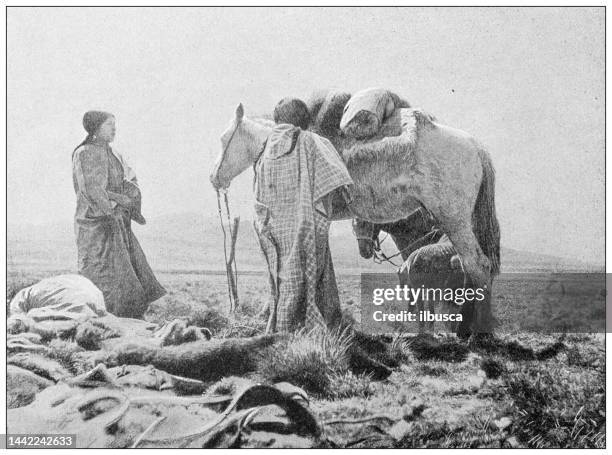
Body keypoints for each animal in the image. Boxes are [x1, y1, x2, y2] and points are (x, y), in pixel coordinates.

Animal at [208, 103, 500, 334]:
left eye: (224, 139)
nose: (214, 178)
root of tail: (475, 146)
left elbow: (279, 268)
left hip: (453, 218)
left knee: (476, 264)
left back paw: (476, 333)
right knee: (467, 266)